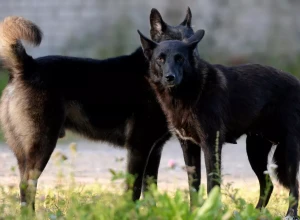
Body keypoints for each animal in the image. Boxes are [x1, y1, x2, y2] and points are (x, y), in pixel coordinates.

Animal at [0, 9, 202, 210]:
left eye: (193, 47)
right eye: (167, 53)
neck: (150, 74)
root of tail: (27, 66)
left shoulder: (155, 151)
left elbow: (150, 192)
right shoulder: (139, 147)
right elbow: (133, 190)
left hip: (25, 154)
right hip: (42, 145)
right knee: (27, 187)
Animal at [139, 29, 300, 218]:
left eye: (180, 58)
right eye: (160, 59)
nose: (170, 77)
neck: (189, 93)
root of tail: (297, 82)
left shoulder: (211, 145)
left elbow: (212, 184)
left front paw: (212, 213)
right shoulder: (188, 145)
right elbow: (193, 185)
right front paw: (194, 213)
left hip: (288, 151)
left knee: (294, 186)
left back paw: (290, 214)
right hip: (255, 151)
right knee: (268, 184)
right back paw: (254, 213)